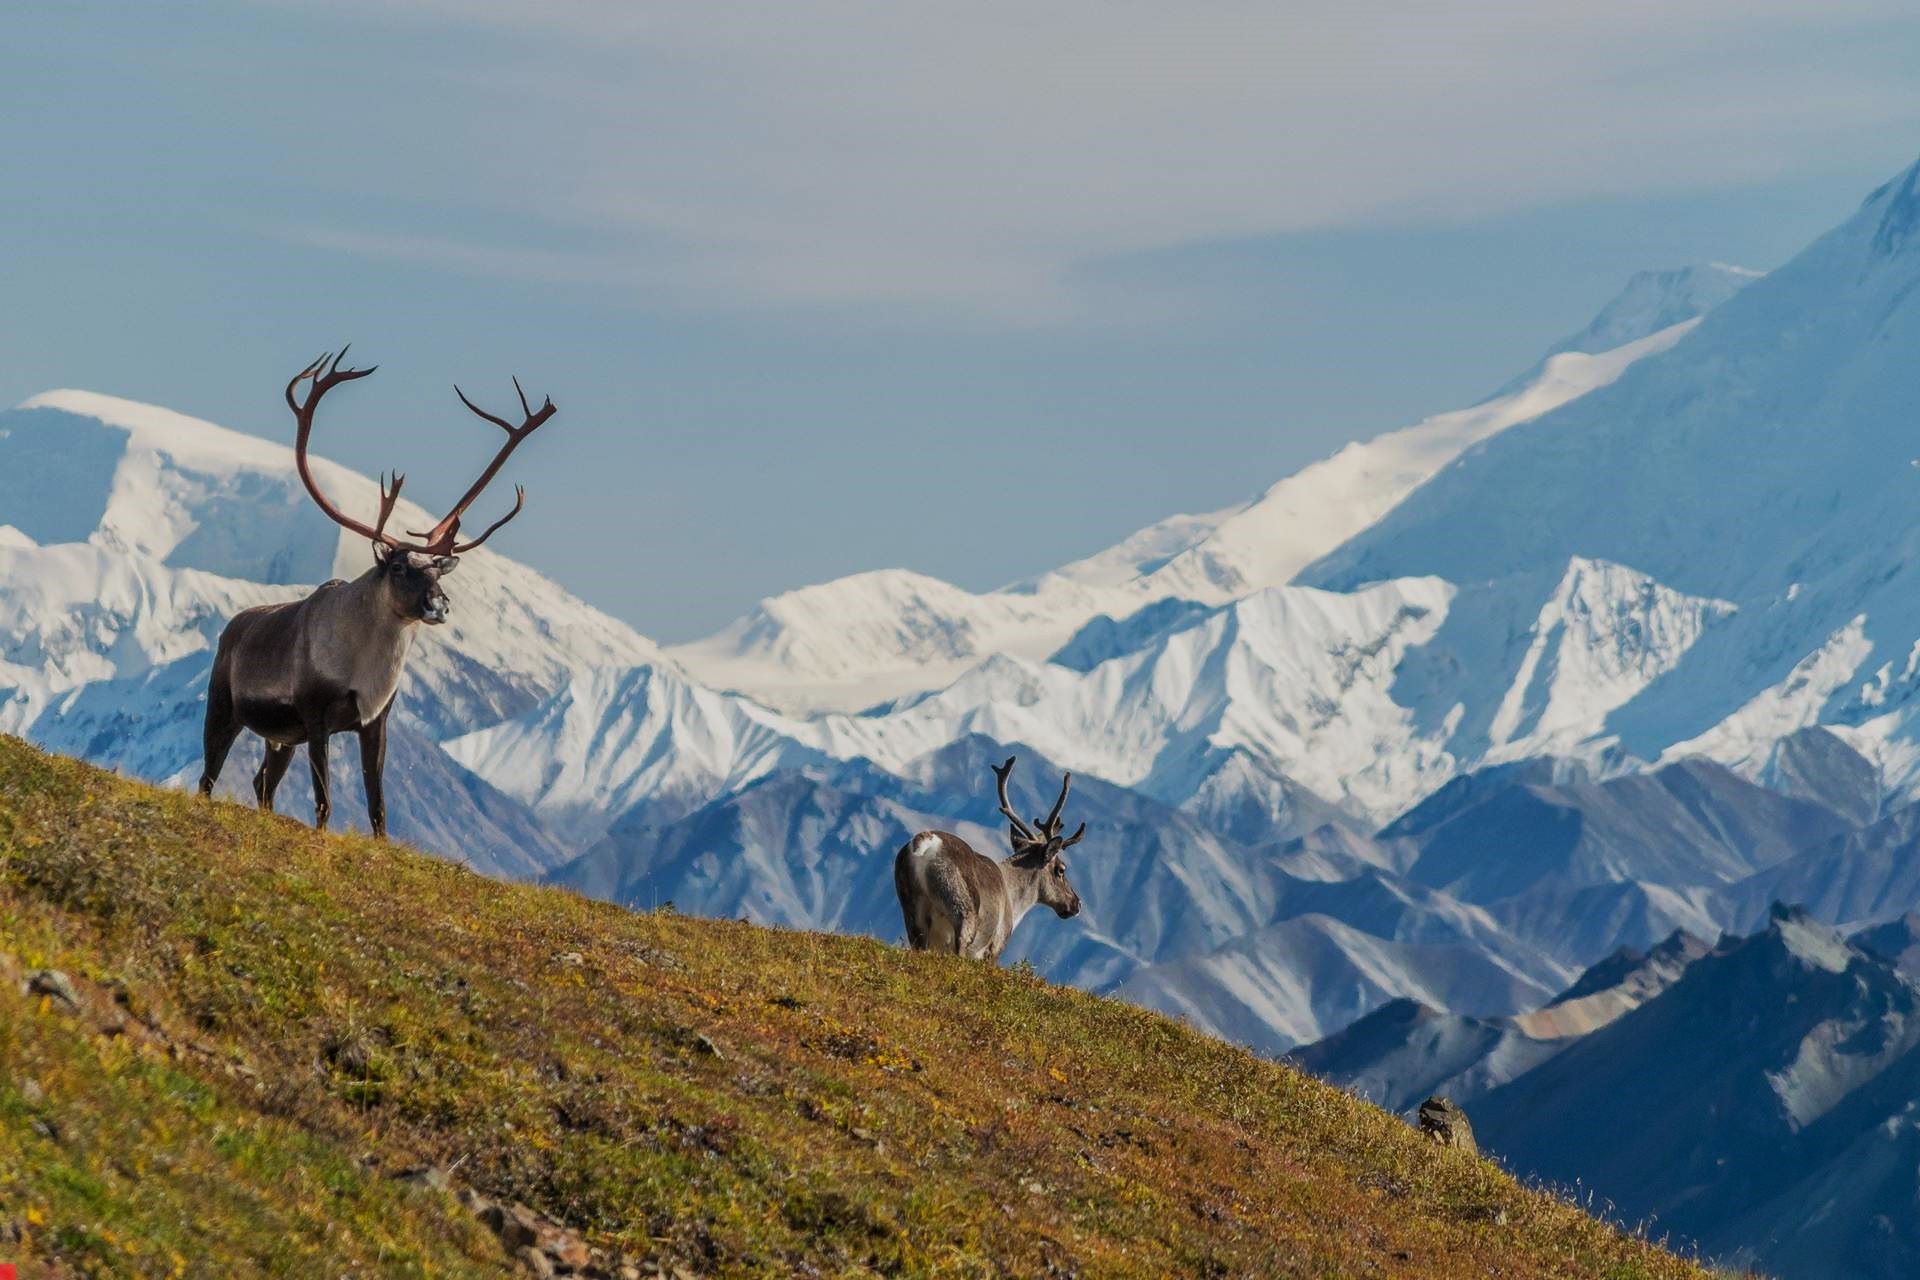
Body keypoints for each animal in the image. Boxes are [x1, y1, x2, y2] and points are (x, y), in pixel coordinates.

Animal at [198, 348, 556, 838]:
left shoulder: (375, 722)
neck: (365, 670)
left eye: (438, 571)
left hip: (280, 737)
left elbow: (378, 805)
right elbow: (325, 801)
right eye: (401, 566)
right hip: (225, 707)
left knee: (262, 782)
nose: (439, 604)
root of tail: (232, 627)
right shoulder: (315, 715)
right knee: (208, 776)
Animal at [894, 755, 1087, 961]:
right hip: (962, 911)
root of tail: (925, 843)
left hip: (912, 912)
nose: (1077, 904)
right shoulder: (995, 946)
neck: (1013, 899)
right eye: (1061, 869)